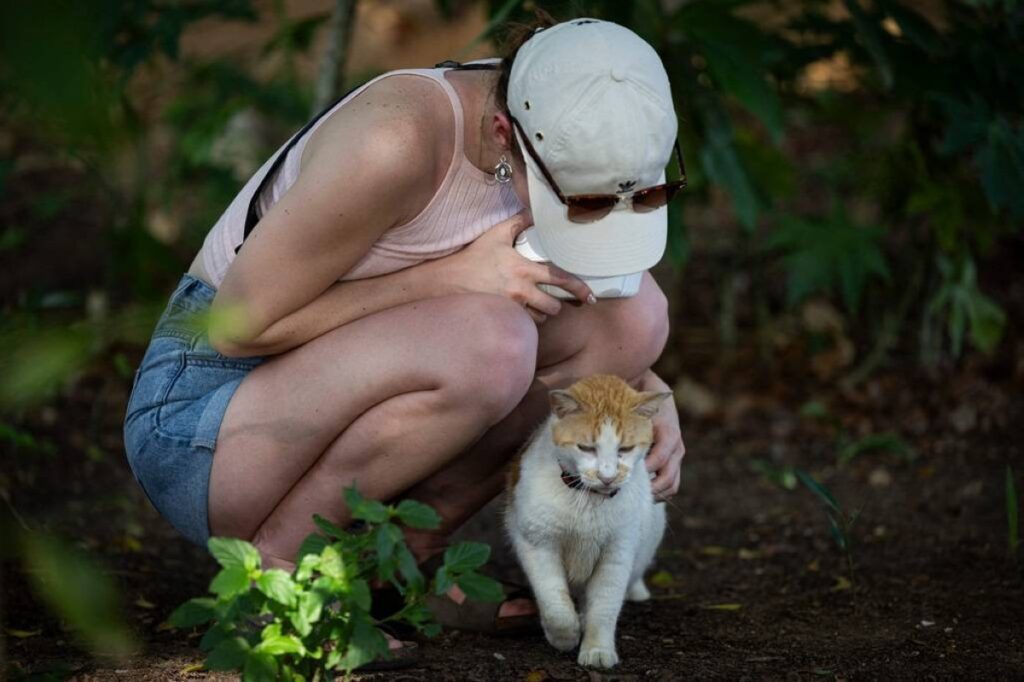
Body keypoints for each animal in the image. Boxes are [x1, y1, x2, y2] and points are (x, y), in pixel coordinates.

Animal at [505, 372, 671, 663]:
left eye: (625, 449)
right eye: (586, 448)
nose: (607, 477)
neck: (588, 499)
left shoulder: (617, 554)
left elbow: (604, 607)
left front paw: (597, 649)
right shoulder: (538, 544)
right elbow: (554, 601)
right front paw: (563, 637)